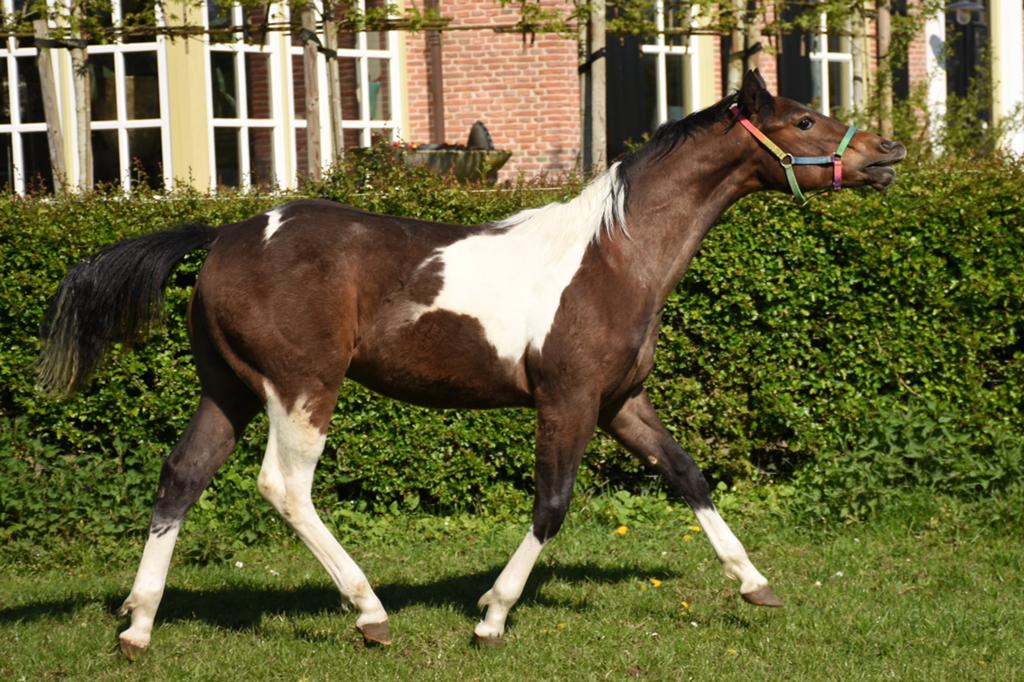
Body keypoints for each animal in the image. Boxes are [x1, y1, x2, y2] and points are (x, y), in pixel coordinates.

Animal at [37, 70, 905, 655]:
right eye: (803, 117)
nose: (887, 153)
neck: (613, 256)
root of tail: (223, 234)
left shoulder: (622, 402)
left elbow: (688, 475)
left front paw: (755, 583)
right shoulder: (568, 401)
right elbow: (551, 505)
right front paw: (491, 614)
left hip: (230, 392)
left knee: (180, 477)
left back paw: (139, 625)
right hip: (301, 389)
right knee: (284, 488)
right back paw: (370, 613)